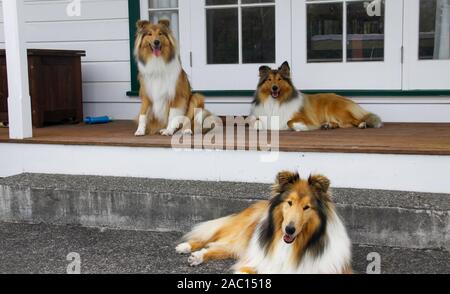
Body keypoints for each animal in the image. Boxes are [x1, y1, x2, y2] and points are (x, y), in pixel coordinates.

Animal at [175, 171, 352, 274]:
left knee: (218, 247)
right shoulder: (254, 263)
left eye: (306, 207)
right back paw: (186, 247)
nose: (289, 230)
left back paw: (197, 257)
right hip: (240, 231)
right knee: (209, 238)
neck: (296, 247)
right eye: (289, 202)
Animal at [251, 61, 382, 131]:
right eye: (269, 80)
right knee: (344, 124)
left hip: (335, 110)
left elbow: (289, 122)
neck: (276, 102)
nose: (274, 88)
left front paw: (300, 127)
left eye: (279, 79)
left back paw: (361, 124)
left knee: (354, 120)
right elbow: (255, 122)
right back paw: (328, 125)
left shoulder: (304, 118)